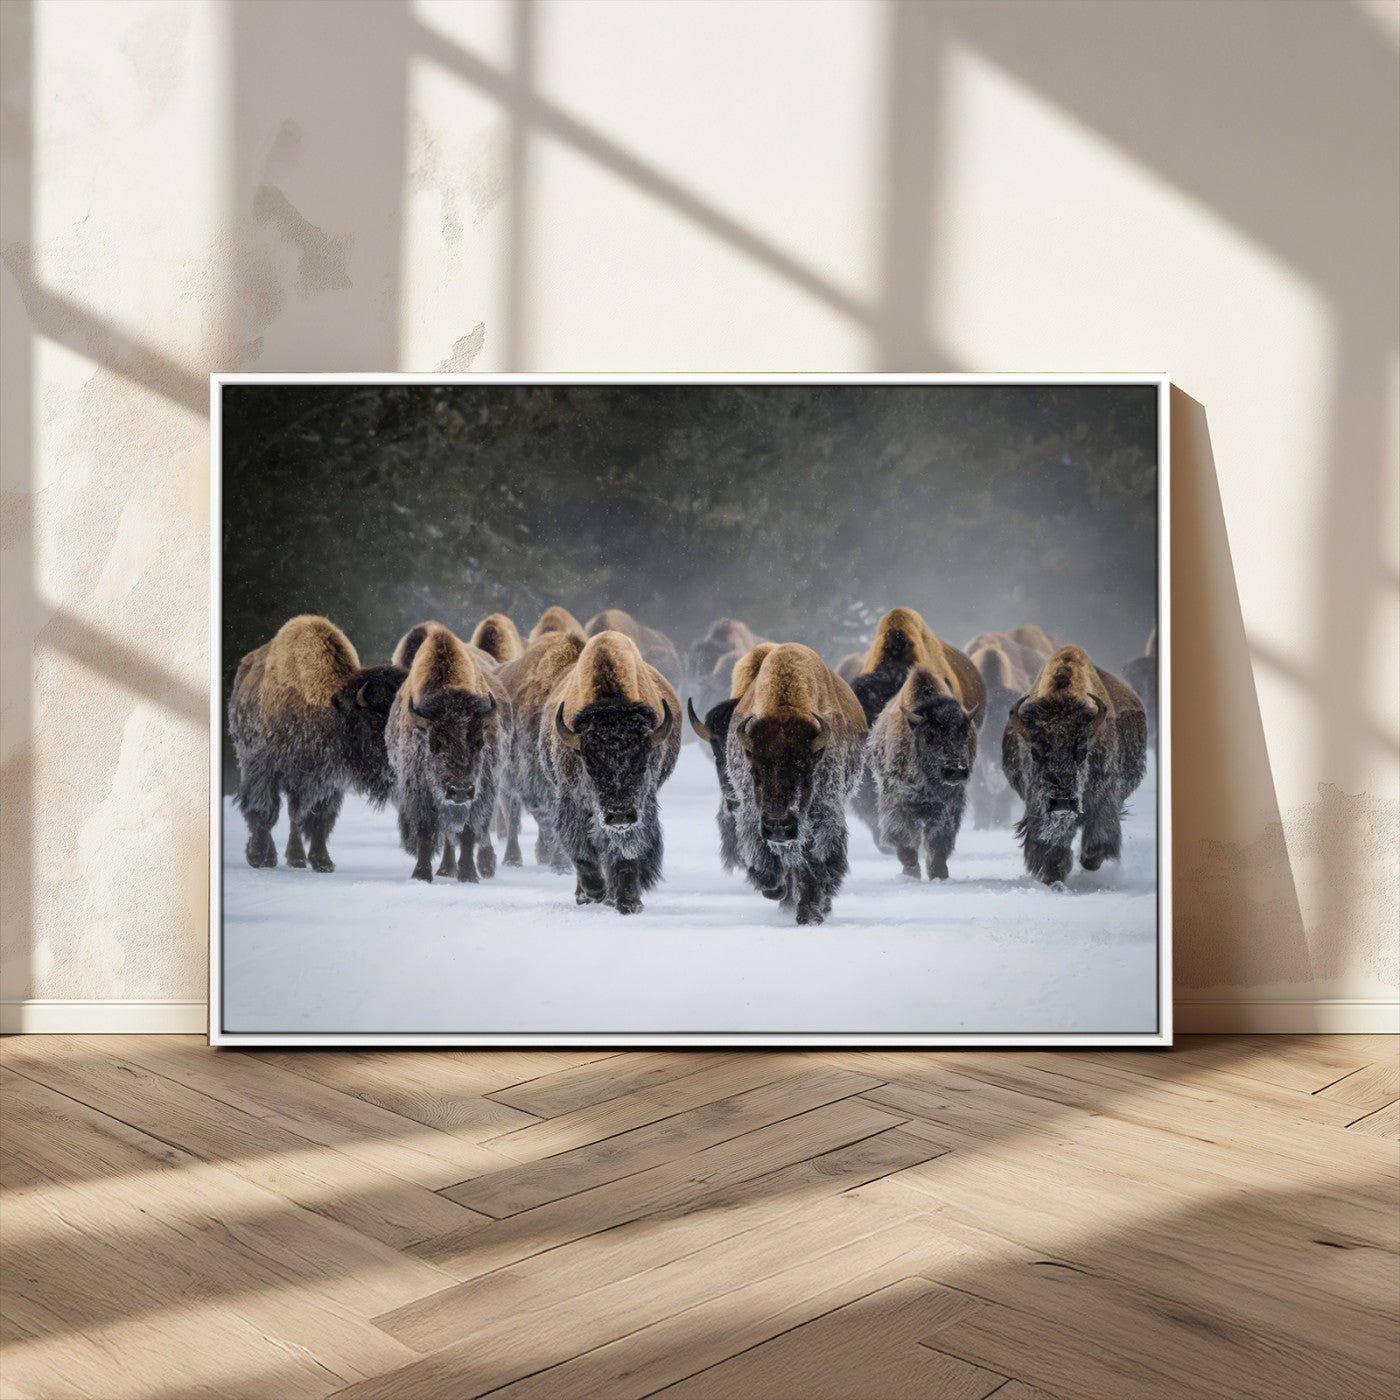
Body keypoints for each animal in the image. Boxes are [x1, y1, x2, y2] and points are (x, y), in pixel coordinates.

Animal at [228, 614, 406, 871]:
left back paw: (296, 858)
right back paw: (271, 857)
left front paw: (322, 862)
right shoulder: (264, 768)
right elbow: (263, 811)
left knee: (295, 816)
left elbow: (319, 819)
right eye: (375, 719)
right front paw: (258, 856)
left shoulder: (326, 781)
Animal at [386, 623, 509, 883]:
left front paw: (469, 875)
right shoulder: (421, 789)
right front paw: (421, 875)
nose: (459, 790)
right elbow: (428, 831)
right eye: (435, 743)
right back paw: (445, 869)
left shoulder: (481, 788)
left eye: (480, 742)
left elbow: (469, 832)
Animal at [545, 631, 681, 914]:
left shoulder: (639, 808)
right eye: (589, 766)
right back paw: (586, 895)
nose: (618, 815)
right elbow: (581, 852)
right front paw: (595, 891)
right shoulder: (572, 802)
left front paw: (629, 902)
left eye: (643, 764)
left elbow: (624, 852)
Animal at [727, 643, 867, 925]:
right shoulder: (754, 814)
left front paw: (810, 914)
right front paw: (777, 891)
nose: (779, 827)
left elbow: (813, 860)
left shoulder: (820, 815)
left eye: (806, 770)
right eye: (756, 771)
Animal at [1003, 645, 1147, 885]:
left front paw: (1090, 860)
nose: (1062, 802)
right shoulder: (1039, 805)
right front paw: (1053, 876)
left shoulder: (1104, 797)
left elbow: (1099, 832)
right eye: (1035, 752)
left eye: (1082, 751)